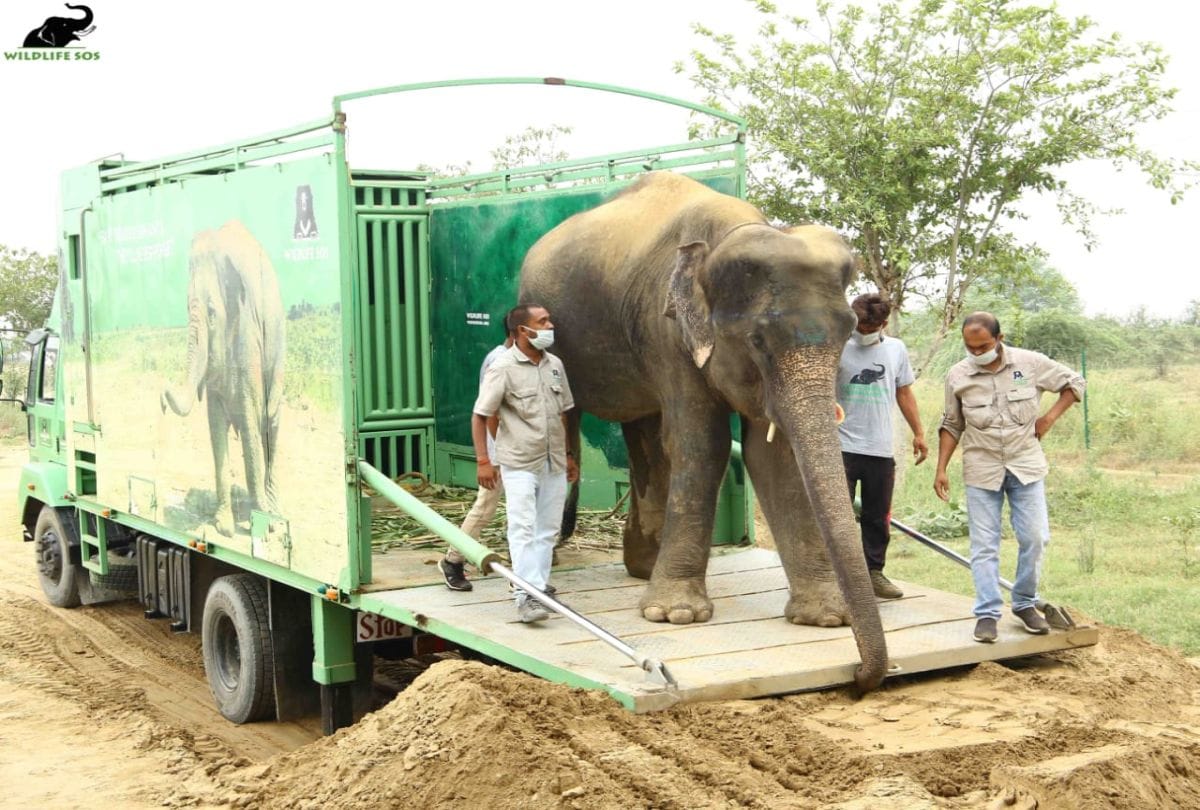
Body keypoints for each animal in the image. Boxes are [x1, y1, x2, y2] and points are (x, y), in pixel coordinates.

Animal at [161, 220, 285, 537]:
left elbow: (252, 427)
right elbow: (215, 426)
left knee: (269, 425)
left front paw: (264, 525)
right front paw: (225, 527)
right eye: (185, 308)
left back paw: (274, 510)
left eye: (212, 313)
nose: (162, 400)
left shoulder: (247, 331)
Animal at [519, 172, 887, 691]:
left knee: (644, 433)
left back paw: (643, 566)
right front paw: (674, 616)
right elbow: (703, 443)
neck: (725, 238)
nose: (858, 673)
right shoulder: (666, 328)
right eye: (758, 340)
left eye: (847, 333)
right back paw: (558, 560)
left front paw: (826, 617)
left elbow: (770, 456)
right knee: (574, 426)